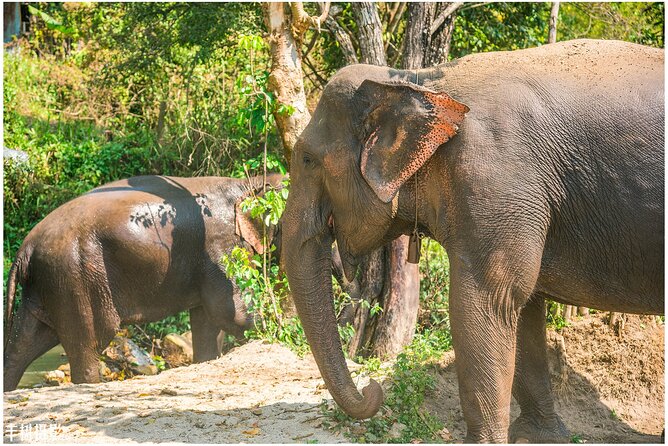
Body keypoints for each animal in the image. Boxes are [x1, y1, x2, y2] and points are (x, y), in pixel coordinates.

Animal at [280, 39, 664, 442]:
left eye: (306, 159)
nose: (373, 387)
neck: (418, 81)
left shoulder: (494, 180)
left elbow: (489, 299)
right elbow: (523, 307)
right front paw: (539, 436)